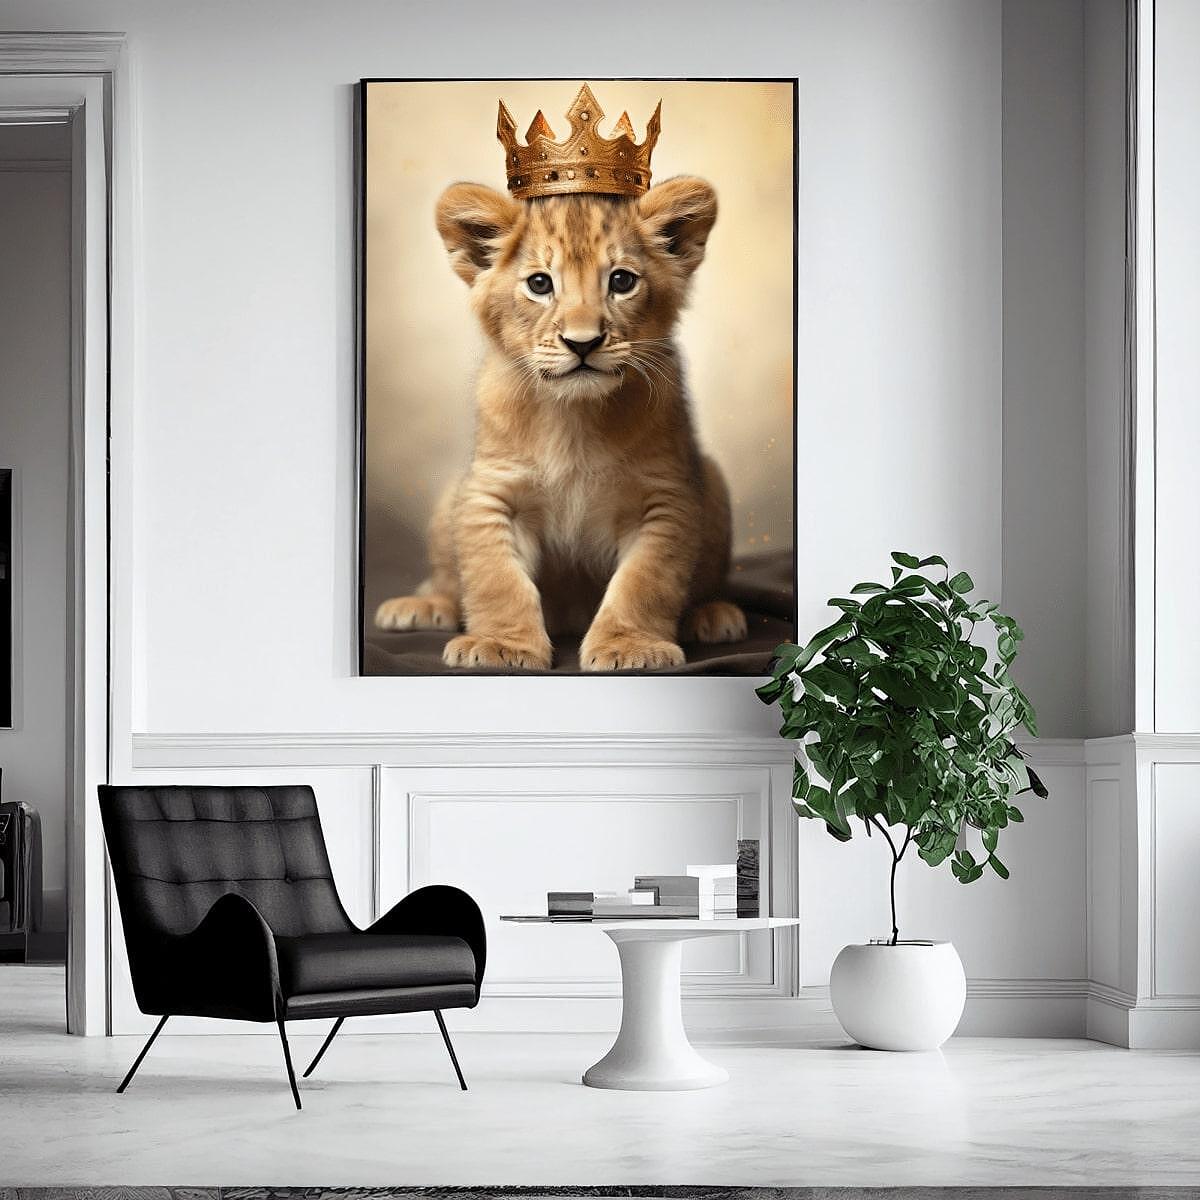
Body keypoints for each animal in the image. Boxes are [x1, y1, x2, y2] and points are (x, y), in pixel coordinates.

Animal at [373, 176, 747, 671]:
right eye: (539, 284)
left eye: (621, 281)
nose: (582, 343)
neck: (574, 416)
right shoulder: (491, 492)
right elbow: (497, 580)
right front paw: (501, 645)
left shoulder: (665, 497)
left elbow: (644, 582)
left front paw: (629, 646)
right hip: (449, 498)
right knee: (449, 580)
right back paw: (422, 606)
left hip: (714, 479)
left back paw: (713, 614)